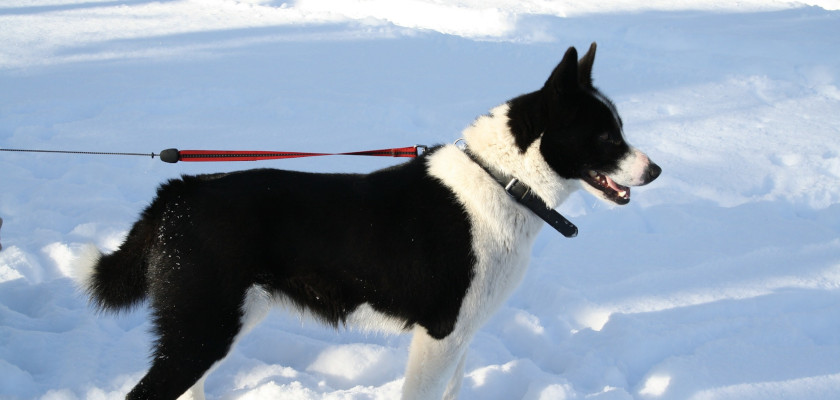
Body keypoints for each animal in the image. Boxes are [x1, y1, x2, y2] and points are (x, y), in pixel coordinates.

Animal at [75, 43, 660, 400]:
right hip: (204, 327)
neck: (501, 181)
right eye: (607, 136)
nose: (655, 170)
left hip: (212, 325)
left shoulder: (461, 337)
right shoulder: (440, 335)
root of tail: (180, 191)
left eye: (620, 129)